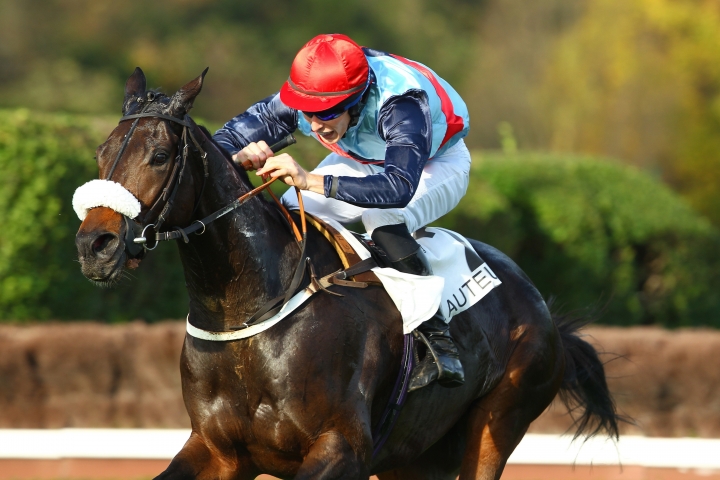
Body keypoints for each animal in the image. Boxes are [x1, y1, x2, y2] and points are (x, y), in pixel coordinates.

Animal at [76, 68, 620, 480]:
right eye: (101, 153)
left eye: (160, 156)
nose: (94, 245)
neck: (247, 313)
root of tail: (541, 306)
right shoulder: (217, 451)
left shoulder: (341, 447)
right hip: (413, 458)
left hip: (497, 422)